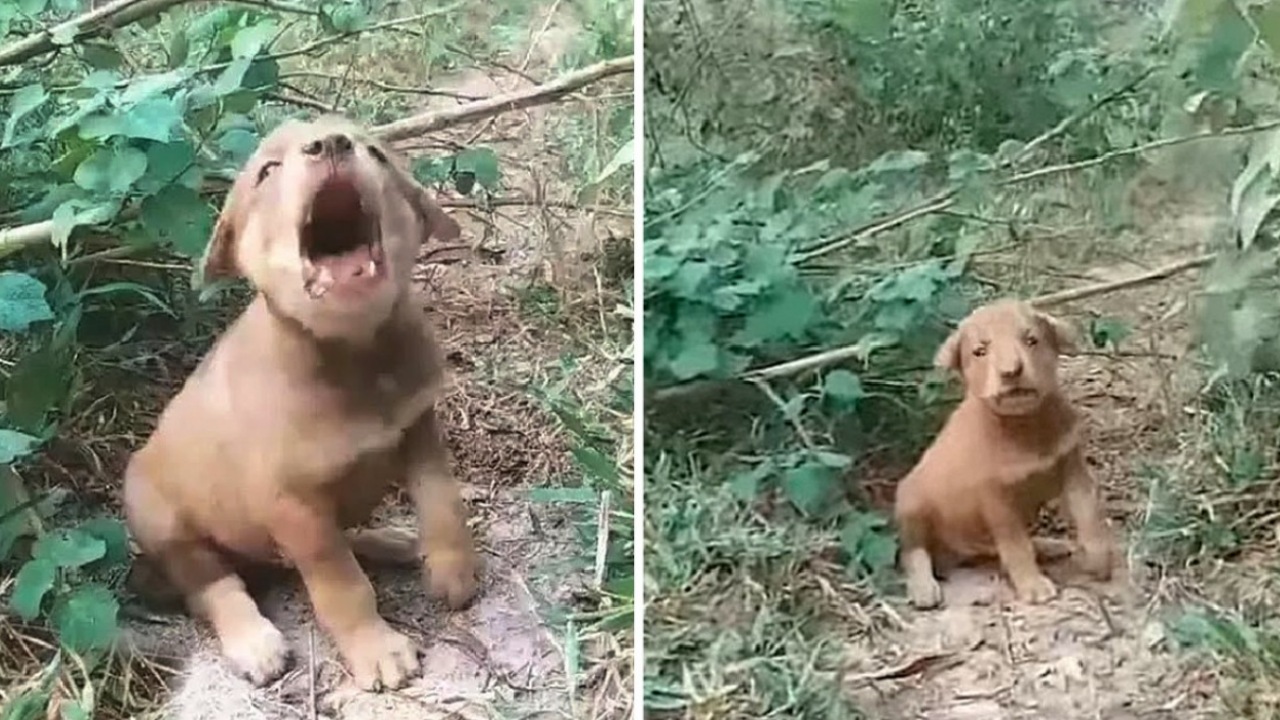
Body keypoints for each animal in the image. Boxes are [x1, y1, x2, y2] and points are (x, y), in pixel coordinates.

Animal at [124, 116, 481, 691]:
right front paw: (376, 648)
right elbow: (341, 585)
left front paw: (452, 568)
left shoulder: (419, 427)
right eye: (268, 170)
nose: (331, 144)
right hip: (161, 518)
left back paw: (394, 541)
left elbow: (441, 499)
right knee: (213, 585)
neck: (356, 356)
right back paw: (253, 640)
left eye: (375, 153)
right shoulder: (293, 507)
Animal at [896, 299, 1116, 607]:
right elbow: (1016, 546)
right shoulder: (996, 500)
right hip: (911, 502)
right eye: (980, 351)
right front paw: (1033, 585)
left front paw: (1099, 559)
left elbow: (1089, 516)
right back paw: (923, 587)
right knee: (912, 550)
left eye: (1031, 340)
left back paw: (1048, 546)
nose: (1011, 371)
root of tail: (954, 553)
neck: (1025, 426)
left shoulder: (1074, 468)